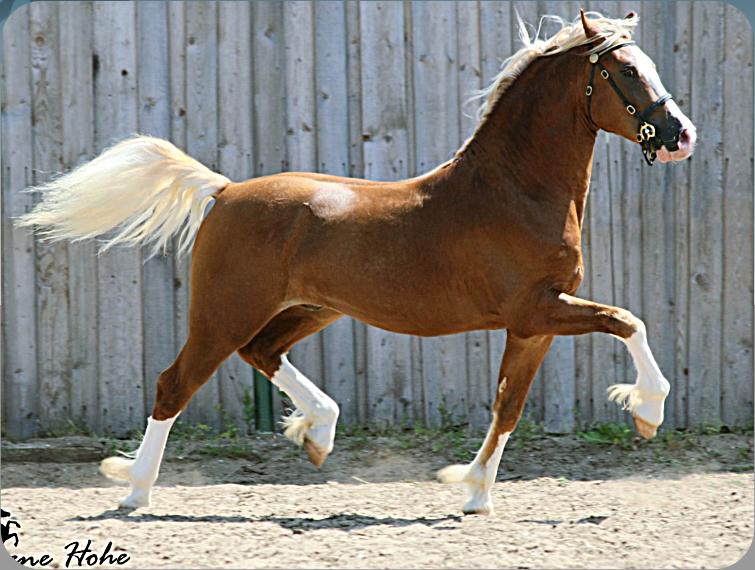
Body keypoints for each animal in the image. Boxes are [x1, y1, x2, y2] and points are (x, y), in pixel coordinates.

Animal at [17, 10, 696, 516]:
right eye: (625, 70)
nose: (680, 135)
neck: (514, 191)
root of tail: (225, 192)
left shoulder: (533, 325)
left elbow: (509, 406)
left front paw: (473, 493)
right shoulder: (538, 310)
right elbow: (628, 321)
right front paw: (647, 412)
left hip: (310, 309)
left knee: (262, 354)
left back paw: (317, 433)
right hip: (224, 313)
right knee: (173, 384)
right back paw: (134, 490)